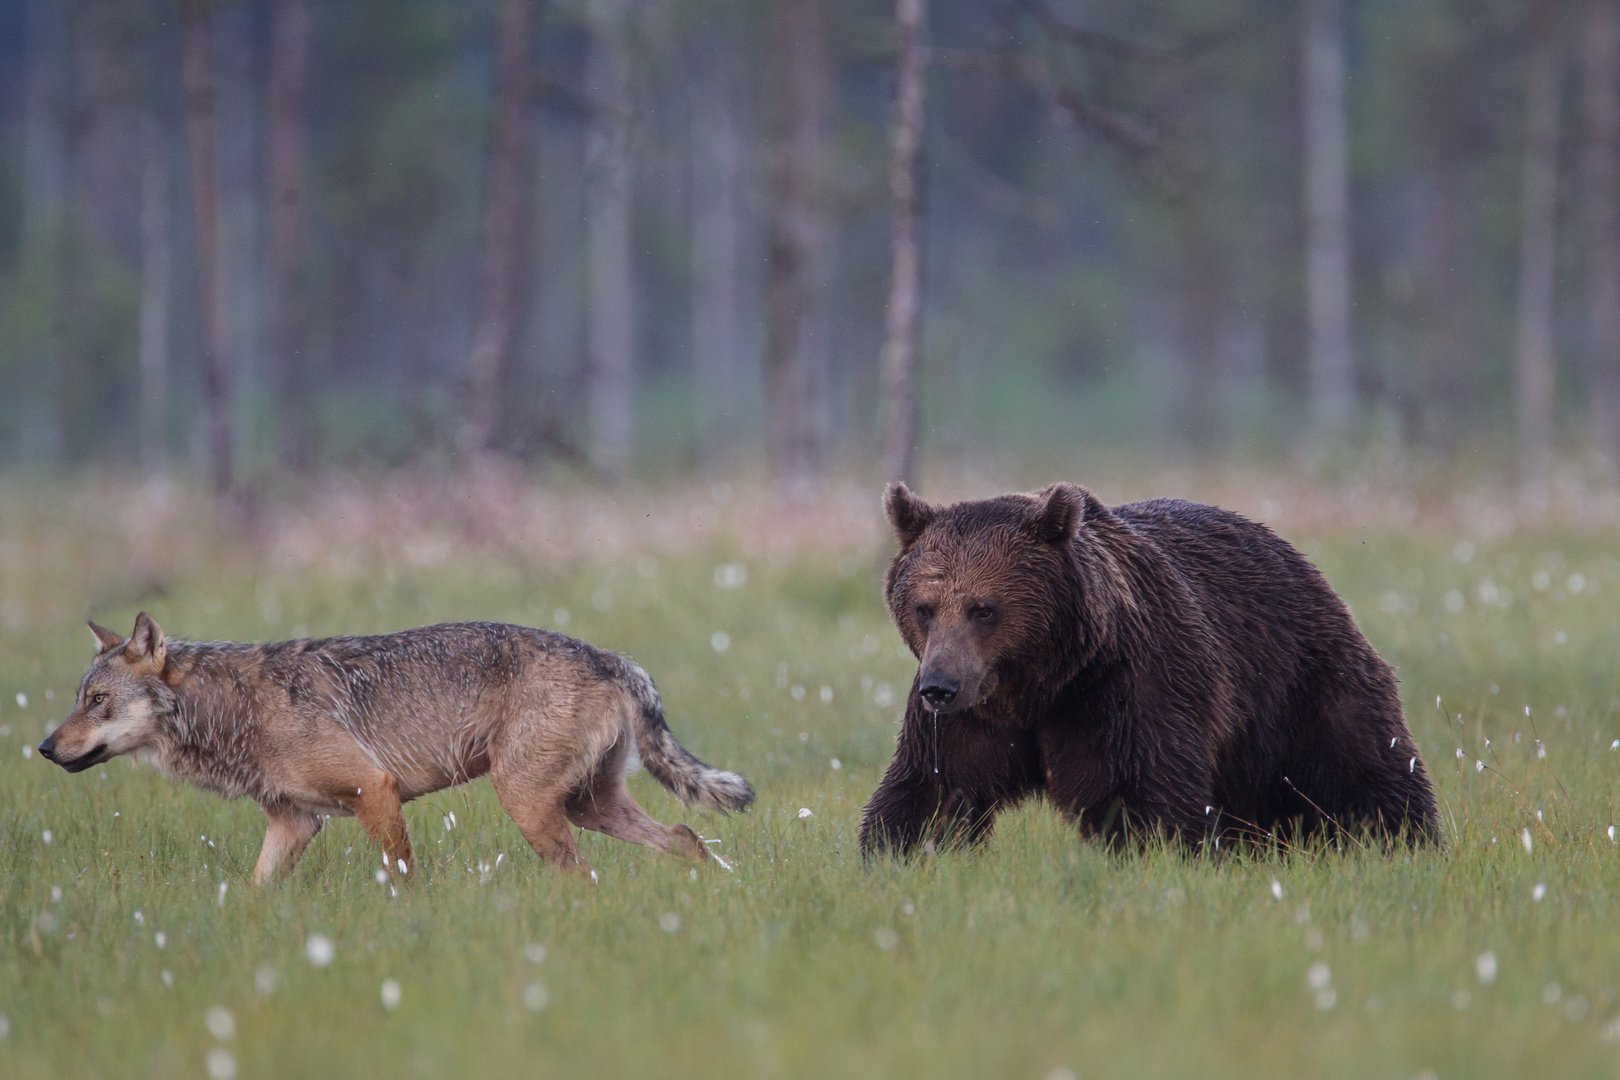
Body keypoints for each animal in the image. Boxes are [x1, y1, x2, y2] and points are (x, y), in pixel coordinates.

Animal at [39, 615, 751, 887]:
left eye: (97, 701)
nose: (44, 747)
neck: (236, 707)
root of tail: (610, 656)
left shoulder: (373, 791)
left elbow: (404, 880)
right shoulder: (294, 824)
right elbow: (251, 891)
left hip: (530, 805)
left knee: (588, 874)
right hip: (585, 806)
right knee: (685, 836)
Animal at [861, 485, 1445, 854]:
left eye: (983, 609)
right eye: (924, 608)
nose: (940, 687)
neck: (1040, 682)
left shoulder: (1127, 687)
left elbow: (1142, 794)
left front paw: (1151, 853)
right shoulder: (972, 718)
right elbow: (931, 790)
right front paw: (898, 853)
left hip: (1300, 680)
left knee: (1364, 767)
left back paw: (1405, 842)